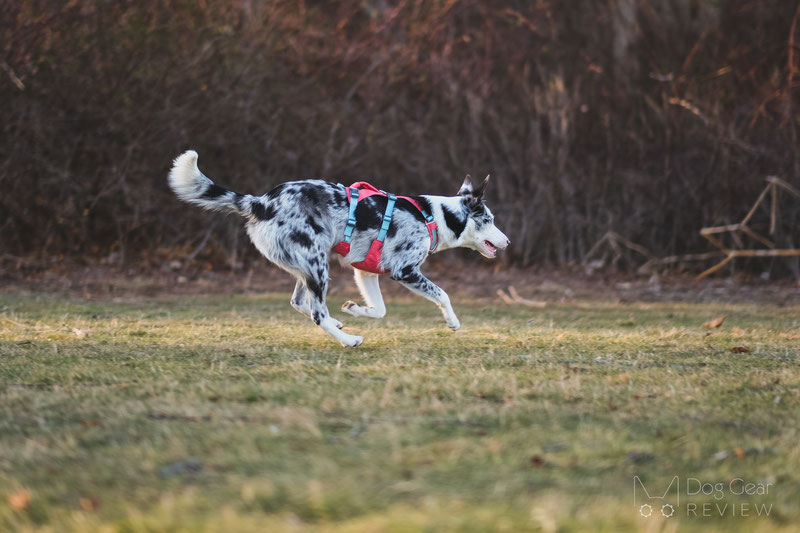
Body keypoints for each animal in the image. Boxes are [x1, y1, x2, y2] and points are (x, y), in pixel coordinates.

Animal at [167, 152, 512, 348]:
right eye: (489, 219)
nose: (507, 241)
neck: (433, 216)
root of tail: (262, 202)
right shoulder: (405, 271)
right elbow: (443, 295)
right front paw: (452, 321)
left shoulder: (366, 271)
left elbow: (380, 310)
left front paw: (356, 310)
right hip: (317, 265)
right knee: (316, 312)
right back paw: (348, 340)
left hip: (307, 267)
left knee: (300, 303)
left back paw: (339, 323)